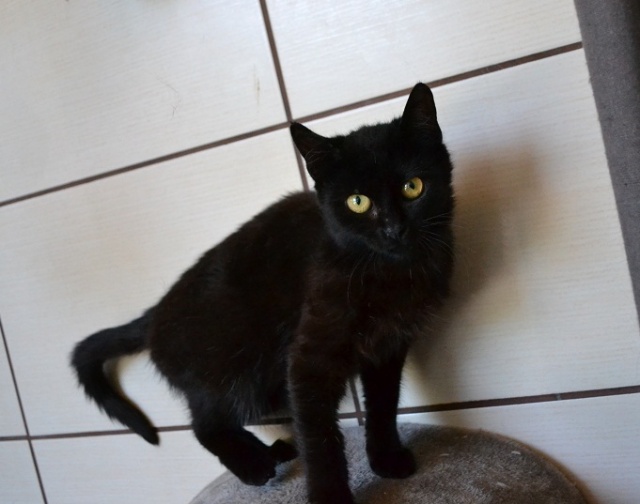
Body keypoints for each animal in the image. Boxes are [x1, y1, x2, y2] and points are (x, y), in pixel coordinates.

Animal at [71, 82, 454, 504]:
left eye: (413, 187)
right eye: (358, 202)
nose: (393, 230)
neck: (387, 273)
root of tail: (154, 313)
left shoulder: (387, 347)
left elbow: (383, 405)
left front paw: (386, 459)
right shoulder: (308, 360)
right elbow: (320, 437)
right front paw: (330, 497)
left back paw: (273, 451)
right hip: (236, 374)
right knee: (205, 424)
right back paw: (254, 464)